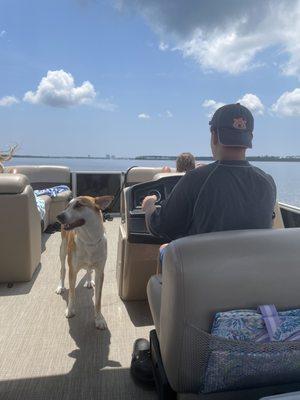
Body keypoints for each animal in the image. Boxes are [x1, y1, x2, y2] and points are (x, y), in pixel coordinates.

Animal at [55, 195, 113, 330]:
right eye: (67, 206)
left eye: (79, 205)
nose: (59, 216)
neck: (89, 239)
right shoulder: (72, 270)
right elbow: (71, 293)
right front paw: (70, 310)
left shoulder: (100, 271)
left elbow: (98, 299)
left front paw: (99, 318)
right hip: (63, 249)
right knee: (62, 269)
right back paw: (60, 286)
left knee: (88, 269)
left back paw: (88, 280)